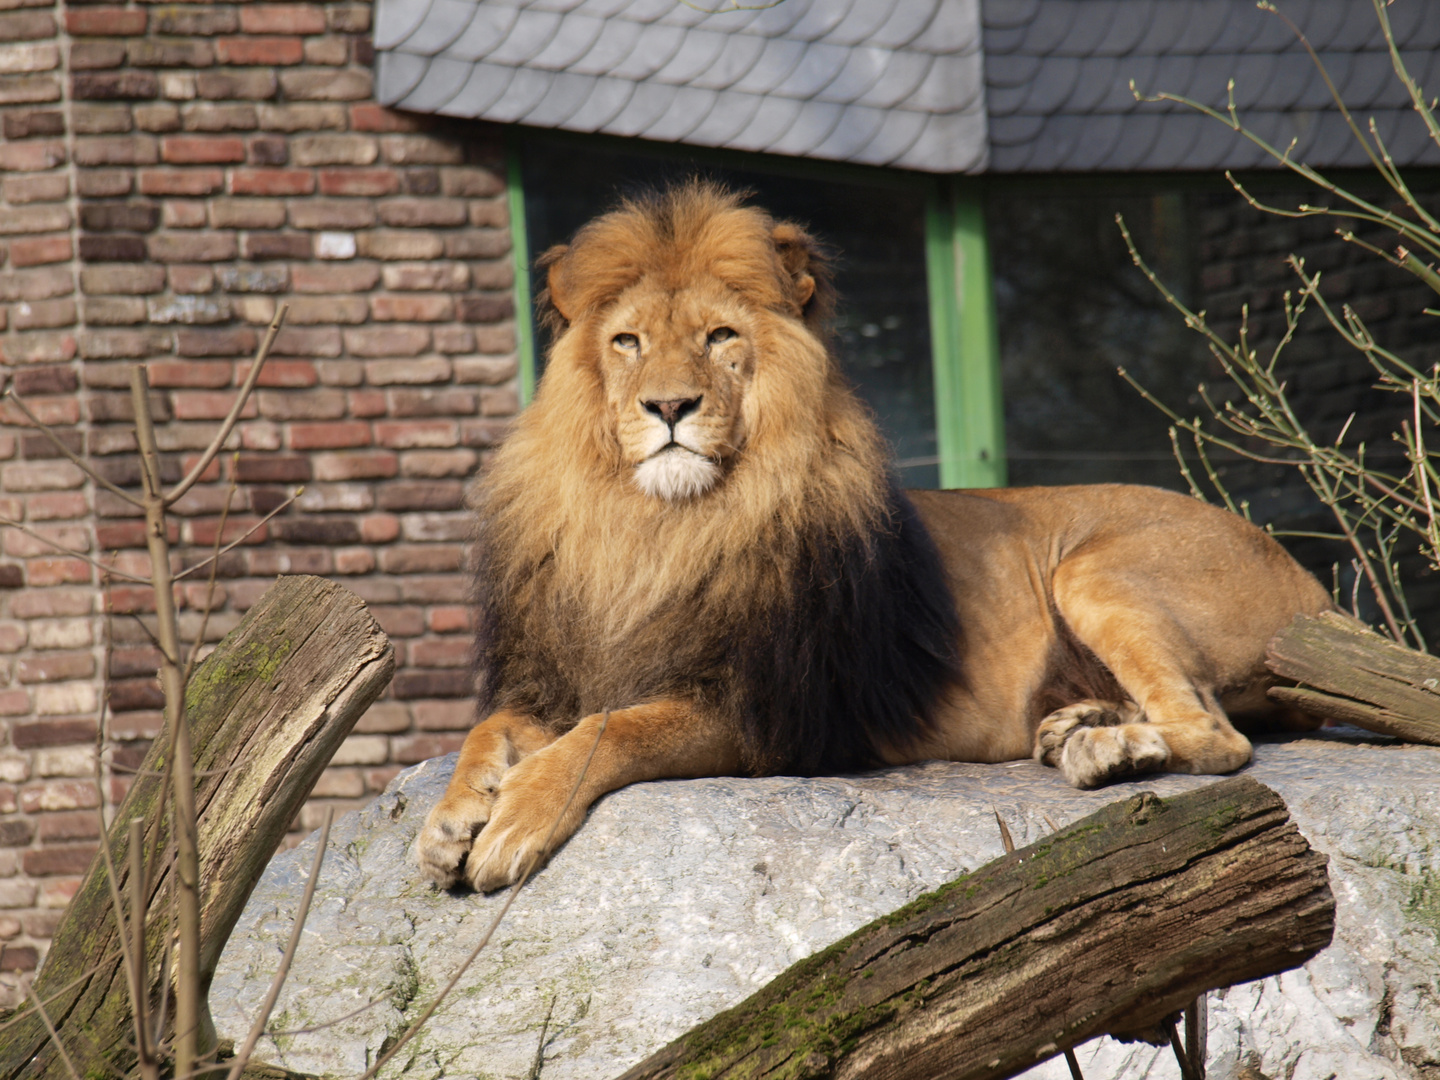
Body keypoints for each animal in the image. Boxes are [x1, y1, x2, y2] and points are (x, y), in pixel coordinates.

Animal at [411, 182, 1330, 892]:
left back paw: (1111, 749)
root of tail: (1315, 589)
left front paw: (512, 823)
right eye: (626, 342)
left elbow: (610, 731)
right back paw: (1080, 726)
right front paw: (451, 819)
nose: (669, 406)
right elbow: (491, 728)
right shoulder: (563, 676)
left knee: (1218, 735)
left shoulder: (766, 715)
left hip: (1095, 569)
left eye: (720, 337)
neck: (658, 529)